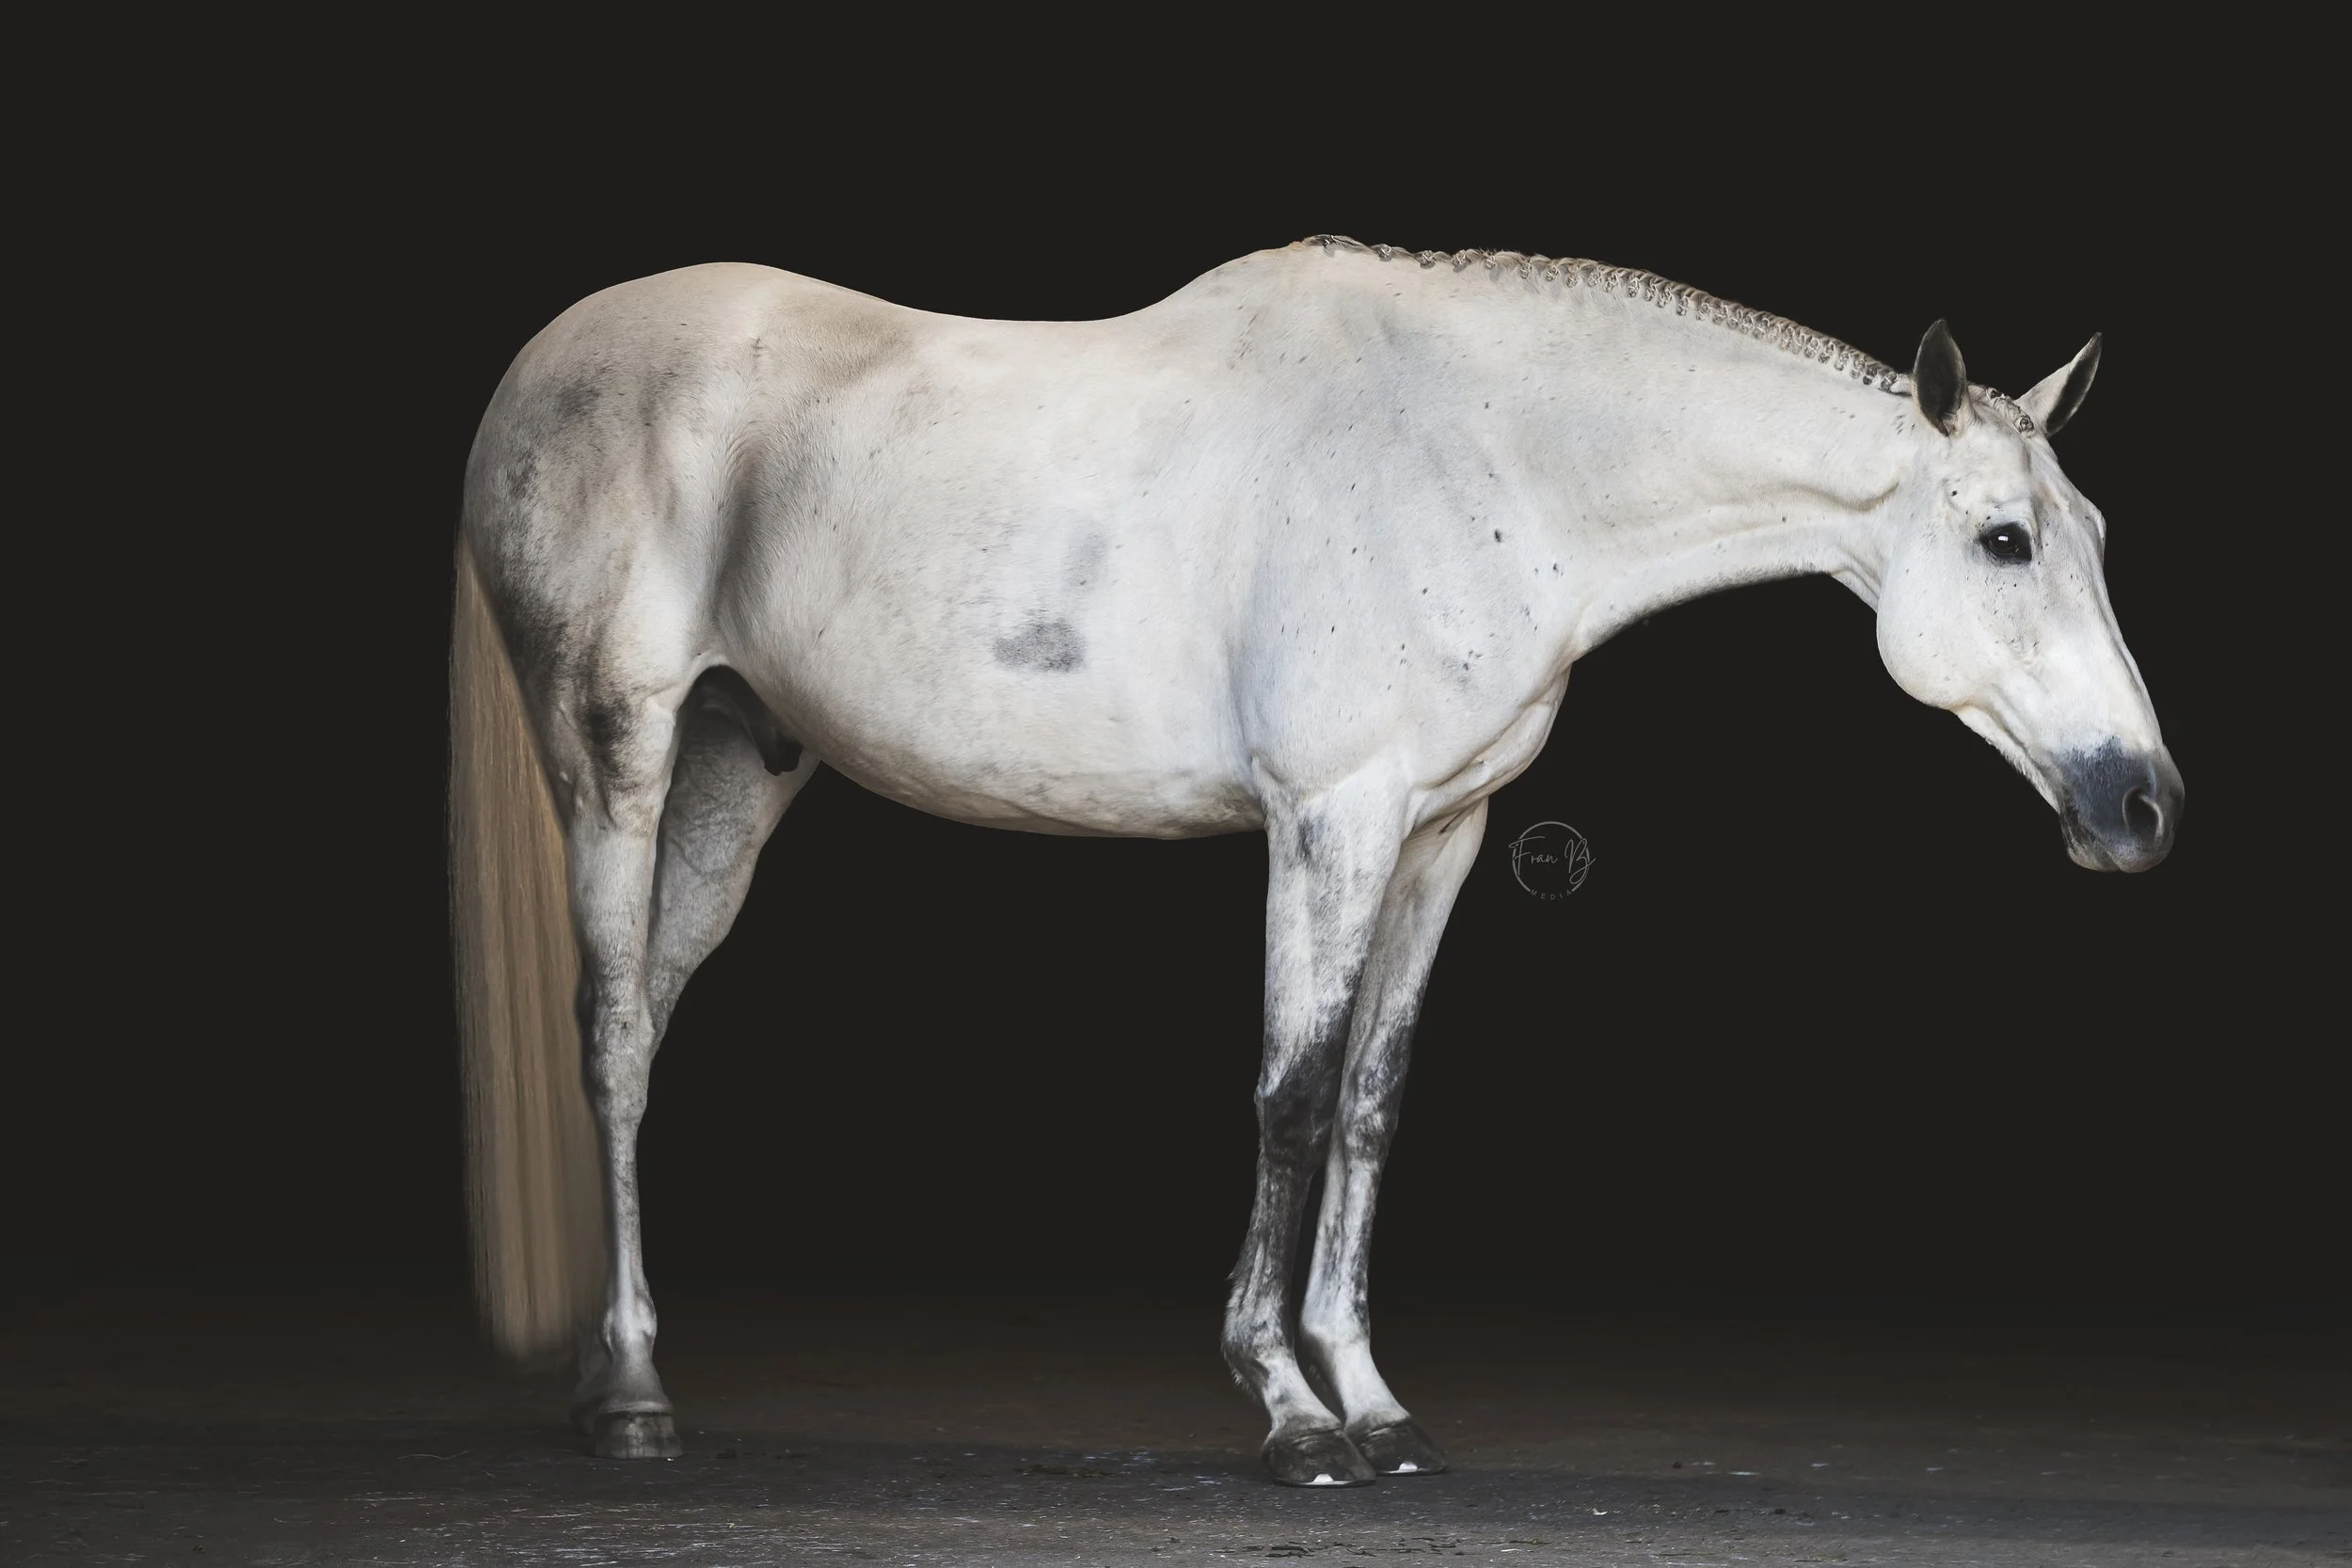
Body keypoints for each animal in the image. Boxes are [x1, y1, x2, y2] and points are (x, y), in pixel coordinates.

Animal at [448, 234, 2181, 1485]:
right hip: (616, 753)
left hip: (732, 776)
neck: (1485, 455)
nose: (2144, 804)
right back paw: (635, 1402)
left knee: (650, 1026)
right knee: (613, 1035)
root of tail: (540, 365)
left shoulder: (1440, 827)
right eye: (2007, 540)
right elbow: (1287, 1089)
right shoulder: (1328, 817)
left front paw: (1376, 1401)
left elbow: (1369, 1098)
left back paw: (612, 1372)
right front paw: (1288, 1409)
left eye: (2094, 532)